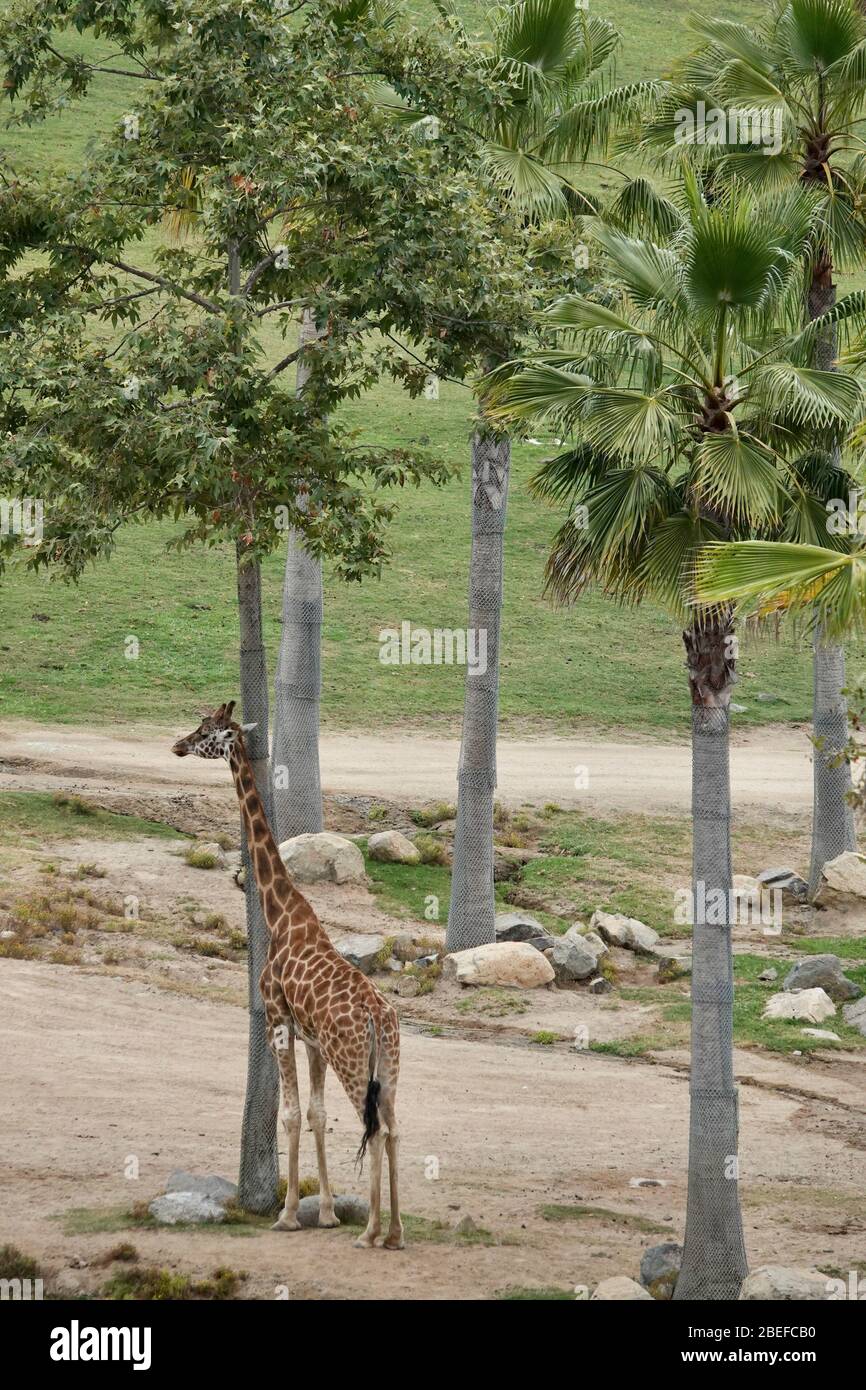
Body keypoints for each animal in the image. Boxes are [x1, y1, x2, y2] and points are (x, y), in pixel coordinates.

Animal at [172, 701, 403, 1250]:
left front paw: (289, 1213)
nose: (176, 745)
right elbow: (317, 1115)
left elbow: (293, 1113)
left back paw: (371, 1233)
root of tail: (379, 1020)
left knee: (376, 1131)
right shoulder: (312, 1039)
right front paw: (327, 1212)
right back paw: (396, 1232)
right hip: (388, 1068)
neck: (279, 912)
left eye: (206, 731)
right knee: (395, 1128)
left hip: (353, 1063)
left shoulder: (277, 1019)